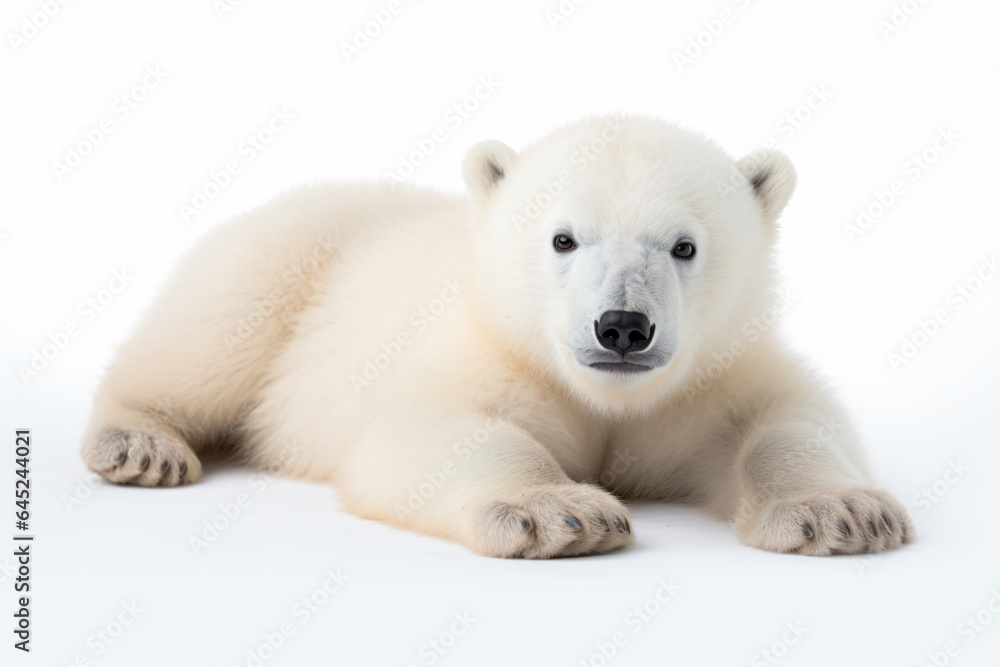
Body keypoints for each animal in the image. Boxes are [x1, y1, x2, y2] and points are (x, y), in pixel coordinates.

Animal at [81, 114, 913, 558]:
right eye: (563, 239)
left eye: (684, 246)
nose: (622, 326)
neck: (605, 396)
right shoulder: (483, 348)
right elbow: (433, 431)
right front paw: (561, 512)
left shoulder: (711, 373)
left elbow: (786, 418)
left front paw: (842, 512)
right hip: (286, 259)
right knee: (208, 335)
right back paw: (142, 442)